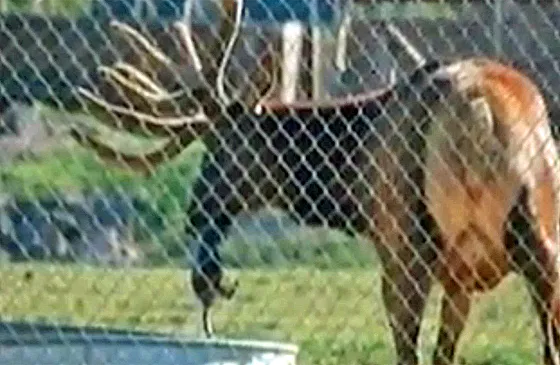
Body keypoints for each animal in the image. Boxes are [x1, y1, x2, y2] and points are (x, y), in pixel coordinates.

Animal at [66, 17, 560, 364]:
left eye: (220, 149)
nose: (195, 214)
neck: (350, 178)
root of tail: (477, 111)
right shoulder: (460, 279)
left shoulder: (394, 245)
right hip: (539, 232)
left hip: (410, 241)